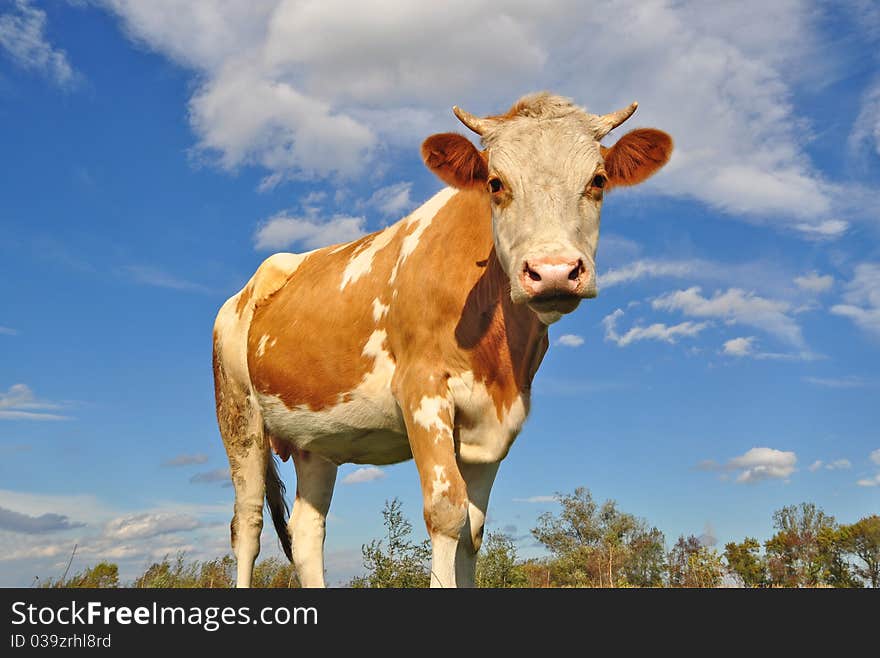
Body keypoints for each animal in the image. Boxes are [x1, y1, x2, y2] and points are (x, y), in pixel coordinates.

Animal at [213, 91, 672, 584]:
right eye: (495, 183)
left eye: (598, 180)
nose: (553, 271)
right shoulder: (423, 391)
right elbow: (446, 512)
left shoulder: (495, 421)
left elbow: (473, 531)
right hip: (239, 416)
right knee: (248, 526)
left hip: (315, 438)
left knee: (306, 532)